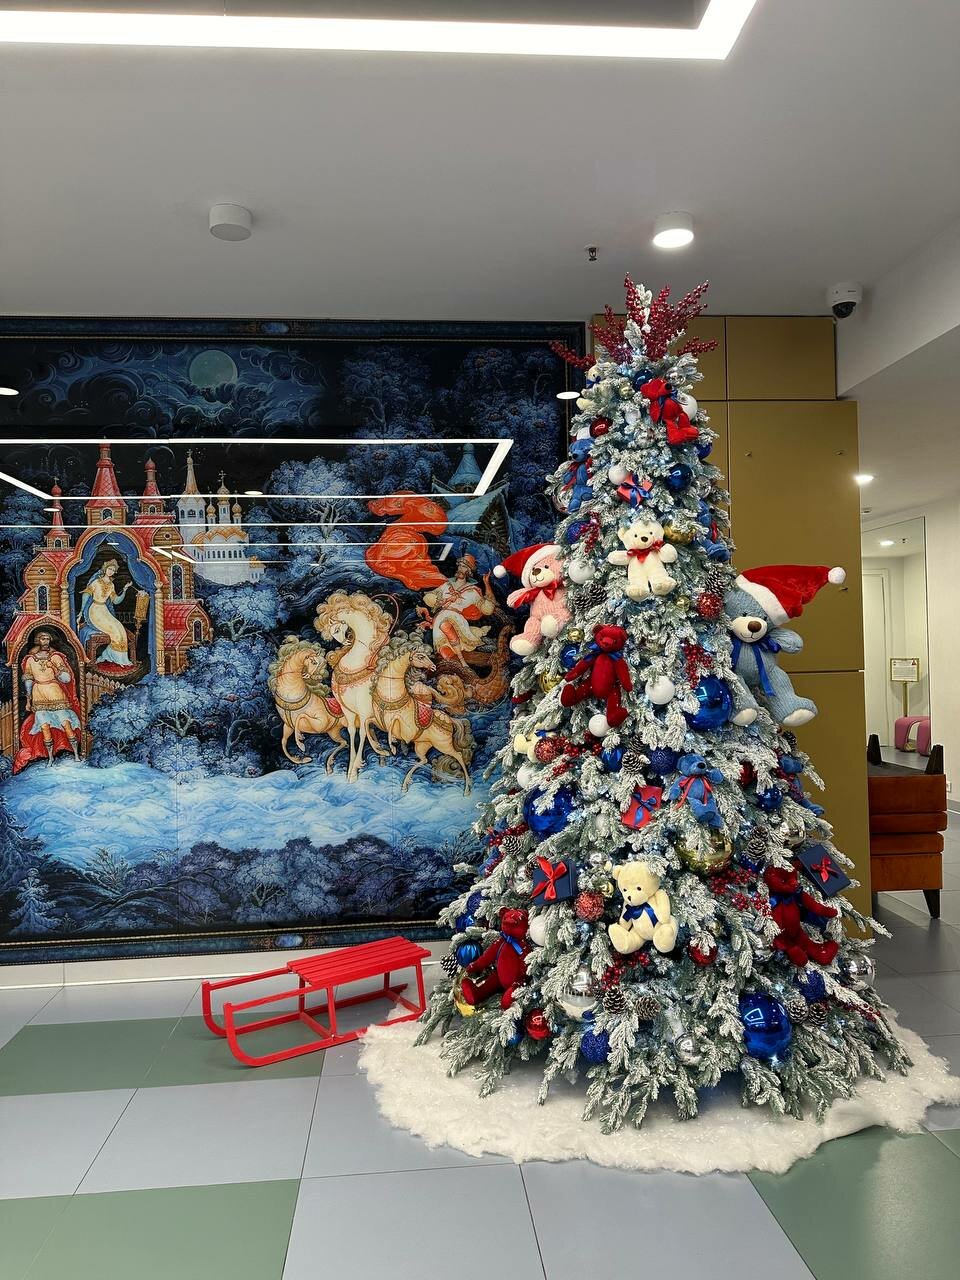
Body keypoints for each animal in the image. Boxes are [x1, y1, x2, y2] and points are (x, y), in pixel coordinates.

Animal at [267, 637, 348, 770]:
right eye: (314, 662)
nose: (314, 677)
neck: (291, 695)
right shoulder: (288, 726)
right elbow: (283, 742)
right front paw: (302, 759)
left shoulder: (320, 724)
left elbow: (301, 716)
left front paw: (300, 743)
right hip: (333, 732)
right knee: (344, 743)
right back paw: (329, 766)